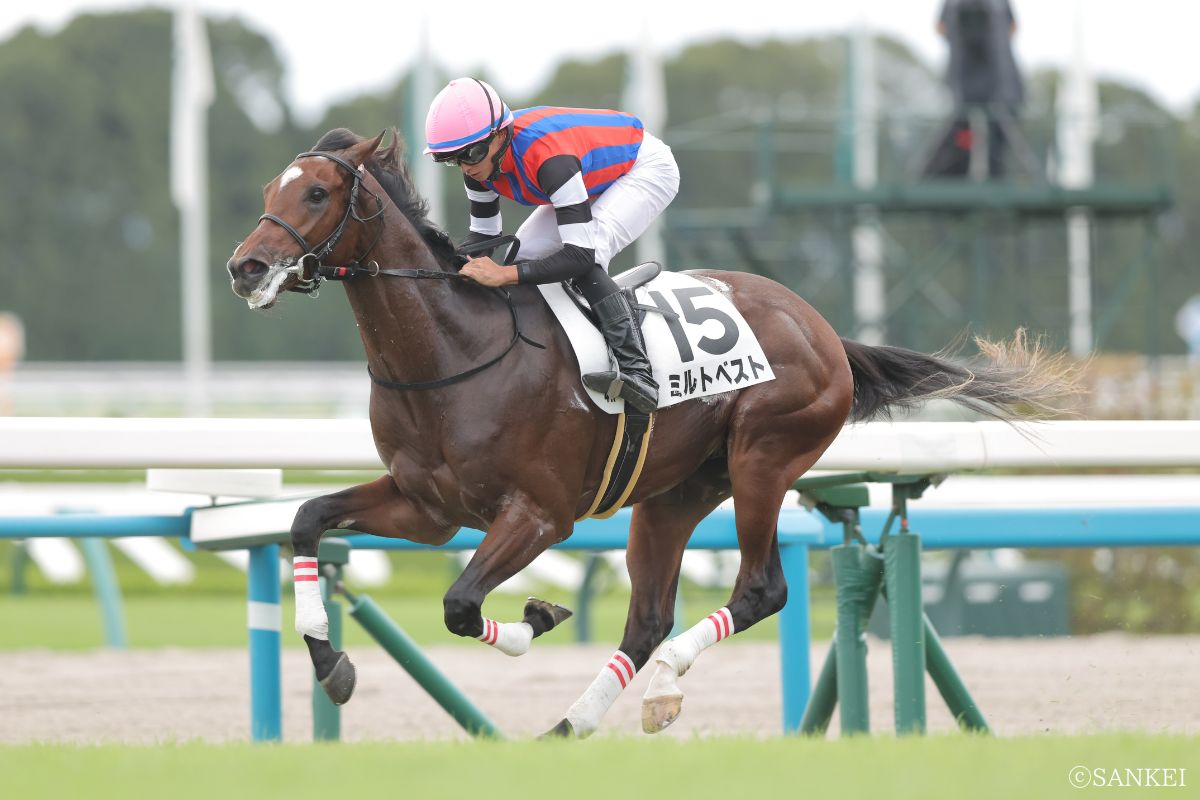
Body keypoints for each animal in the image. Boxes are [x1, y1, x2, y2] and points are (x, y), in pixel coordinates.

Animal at [227, 128, 1062, 738]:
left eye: (317, 190)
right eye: (269, 189)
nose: (246, 267)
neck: (453, 352)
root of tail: (822, 329)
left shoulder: (539, 515)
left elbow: (461, 604)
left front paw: (536, 617)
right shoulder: (427, 507)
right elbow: (306, 520)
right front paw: (331, 664)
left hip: (763, 458)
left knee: (761, 588)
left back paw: (658, 685)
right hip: (672, 494)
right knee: (648, 619)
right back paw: (575, 724)